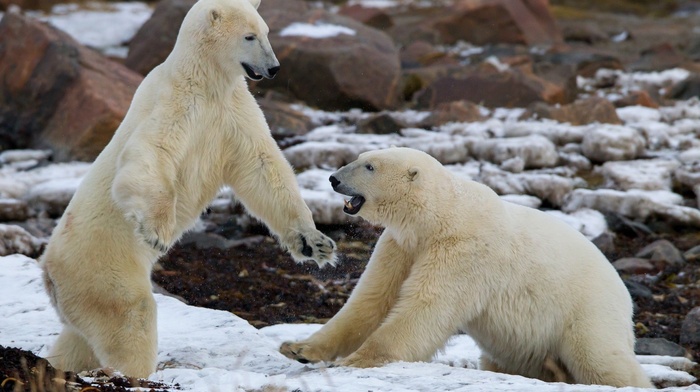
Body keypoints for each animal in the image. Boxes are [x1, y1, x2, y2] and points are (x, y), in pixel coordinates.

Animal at [40, 0, 336, 380]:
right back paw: (133, 371)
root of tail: (48, 270)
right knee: (129, 315)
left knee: (79, 337)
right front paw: (158, 232)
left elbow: (263, 168)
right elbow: (151, 152)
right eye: (249, 36)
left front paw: (316, 243)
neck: (205, 78)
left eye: (267, 32)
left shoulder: (233, 110)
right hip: (101, 268)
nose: (273, 68)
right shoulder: (178, 103)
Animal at [282, 148, 652, 388]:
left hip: (586, 311)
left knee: (600, 358)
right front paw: (298, 349)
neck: (439, 216)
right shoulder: (402, 246)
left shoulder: (464, 251)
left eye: (369, 166)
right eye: (358, 158)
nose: (333, 178)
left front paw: (356, 359)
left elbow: (425, 307)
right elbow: (371, 301)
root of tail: (623, 292)